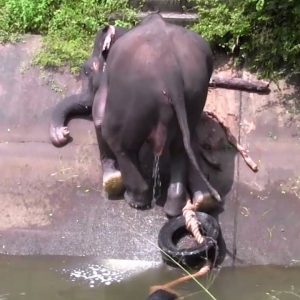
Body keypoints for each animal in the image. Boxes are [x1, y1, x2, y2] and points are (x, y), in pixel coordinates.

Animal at [92, 14, 221, 216]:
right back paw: (178, 206)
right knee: (180, 147)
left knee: (119, 142)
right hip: (195, 94)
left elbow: (98, 114)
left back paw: (134, 200)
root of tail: (171, 72)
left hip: (133, 98)